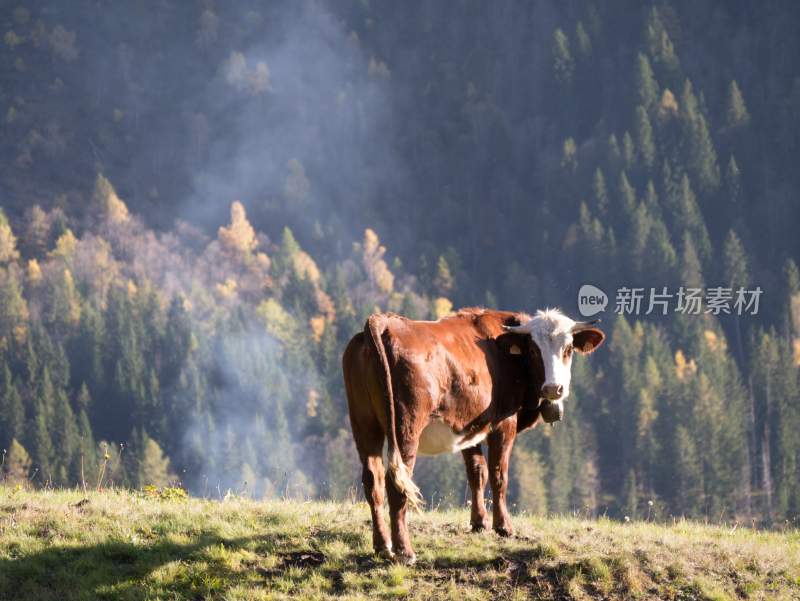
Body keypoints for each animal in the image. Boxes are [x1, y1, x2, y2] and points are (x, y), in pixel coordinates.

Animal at [340, 310, 604, 564]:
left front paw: (479, 523)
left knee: (373, 480)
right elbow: (499, 474)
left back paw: (382, 546)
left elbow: (477, 472)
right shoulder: (504, 424)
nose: (553, 389)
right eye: (533, 350)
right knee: (396, 484)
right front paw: (503, 527)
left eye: (568, 349)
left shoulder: (467, 426)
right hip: (406, 427)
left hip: (364, 423)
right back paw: (405, 551)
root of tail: (384, 322)